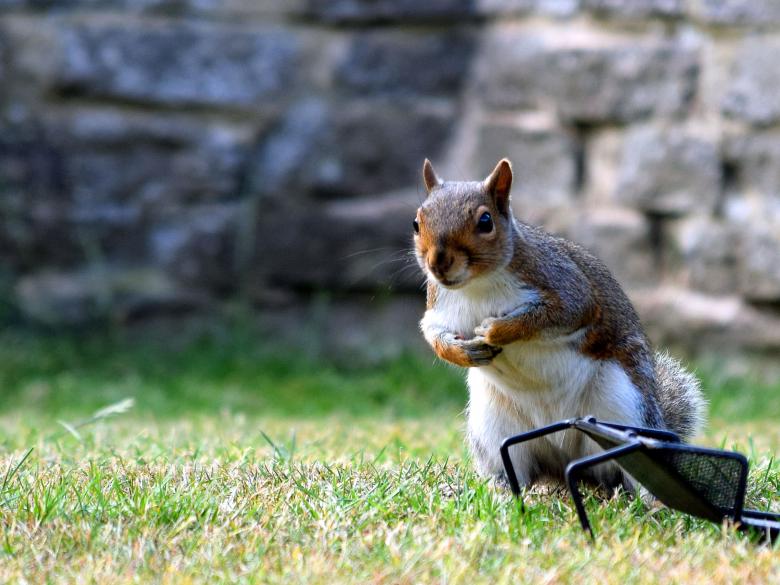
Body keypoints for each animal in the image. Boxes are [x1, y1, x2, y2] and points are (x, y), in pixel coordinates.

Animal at [415, 157, 706, 490]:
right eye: (416, 223)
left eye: (486, 221)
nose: (437, 264)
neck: (477, 286)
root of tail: (564, 455)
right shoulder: (438, 306)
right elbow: (432, 333)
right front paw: (460, 352)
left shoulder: (566, 287)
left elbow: (560, 313)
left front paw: (497, 330)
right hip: (492, 425)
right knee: (514, 465)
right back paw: (503, 490)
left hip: (624, 405)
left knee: (635, 463)